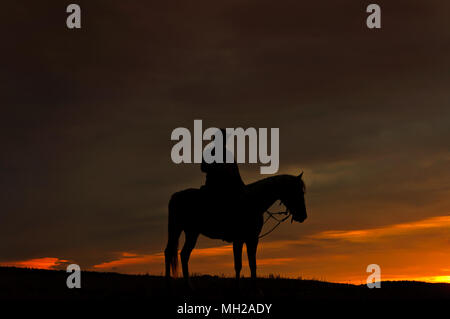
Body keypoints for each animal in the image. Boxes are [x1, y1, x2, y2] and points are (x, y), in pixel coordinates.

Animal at [163, 172, 308, 290]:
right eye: (298, 192)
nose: (303, 216)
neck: (253, 202)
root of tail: (176, 195)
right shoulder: (240, 240)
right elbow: (239, 264)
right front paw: (240, 289)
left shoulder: (251, 239)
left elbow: (252, 264)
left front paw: (253, 289)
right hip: (176, 229)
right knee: (169, 252)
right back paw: (168, 285)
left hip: (192, 233)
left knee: (184, 254)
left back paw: (188, 286)